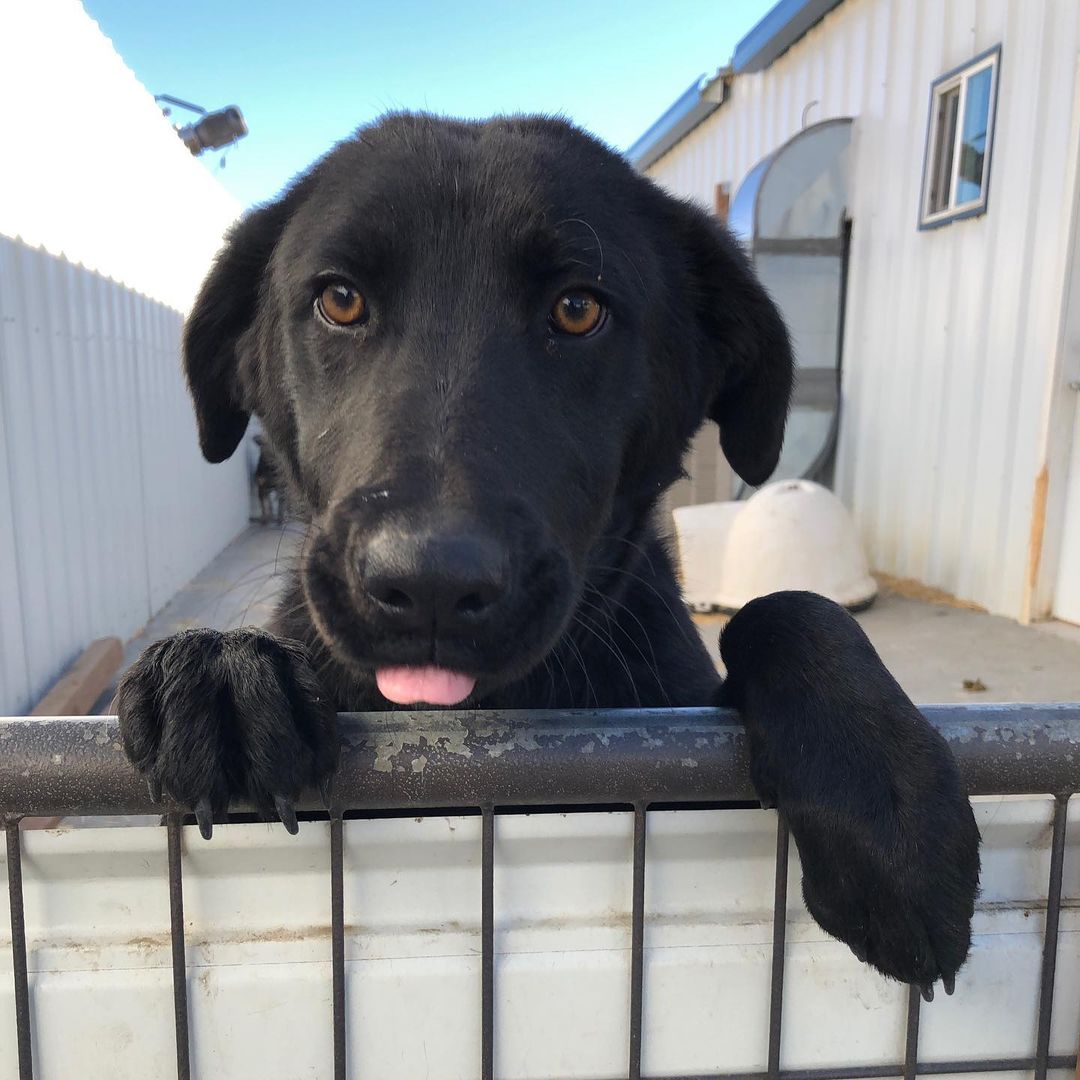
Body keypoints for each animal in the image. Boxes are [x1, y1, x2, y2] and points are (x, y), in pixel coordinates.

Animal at [116, 113, 980, 997]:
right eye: (340, 299)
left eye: (576, 309)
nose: (429, 584)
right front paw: (221, 670)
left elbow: (791, 608)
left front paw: (887, 812)